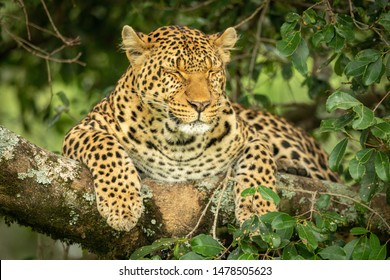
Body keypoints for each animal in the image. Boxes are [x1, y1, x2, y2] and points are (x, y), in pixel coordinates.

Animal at [61, 25, 338, 232]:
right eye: (174, 71)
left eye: (212, 71)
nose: (201, 104)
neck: (178, 141)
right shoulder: (83, 128)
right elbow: (106, 147)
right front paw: (122, 205)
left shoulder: (252, 137)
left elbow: (259, 164)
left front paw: (259, 213)